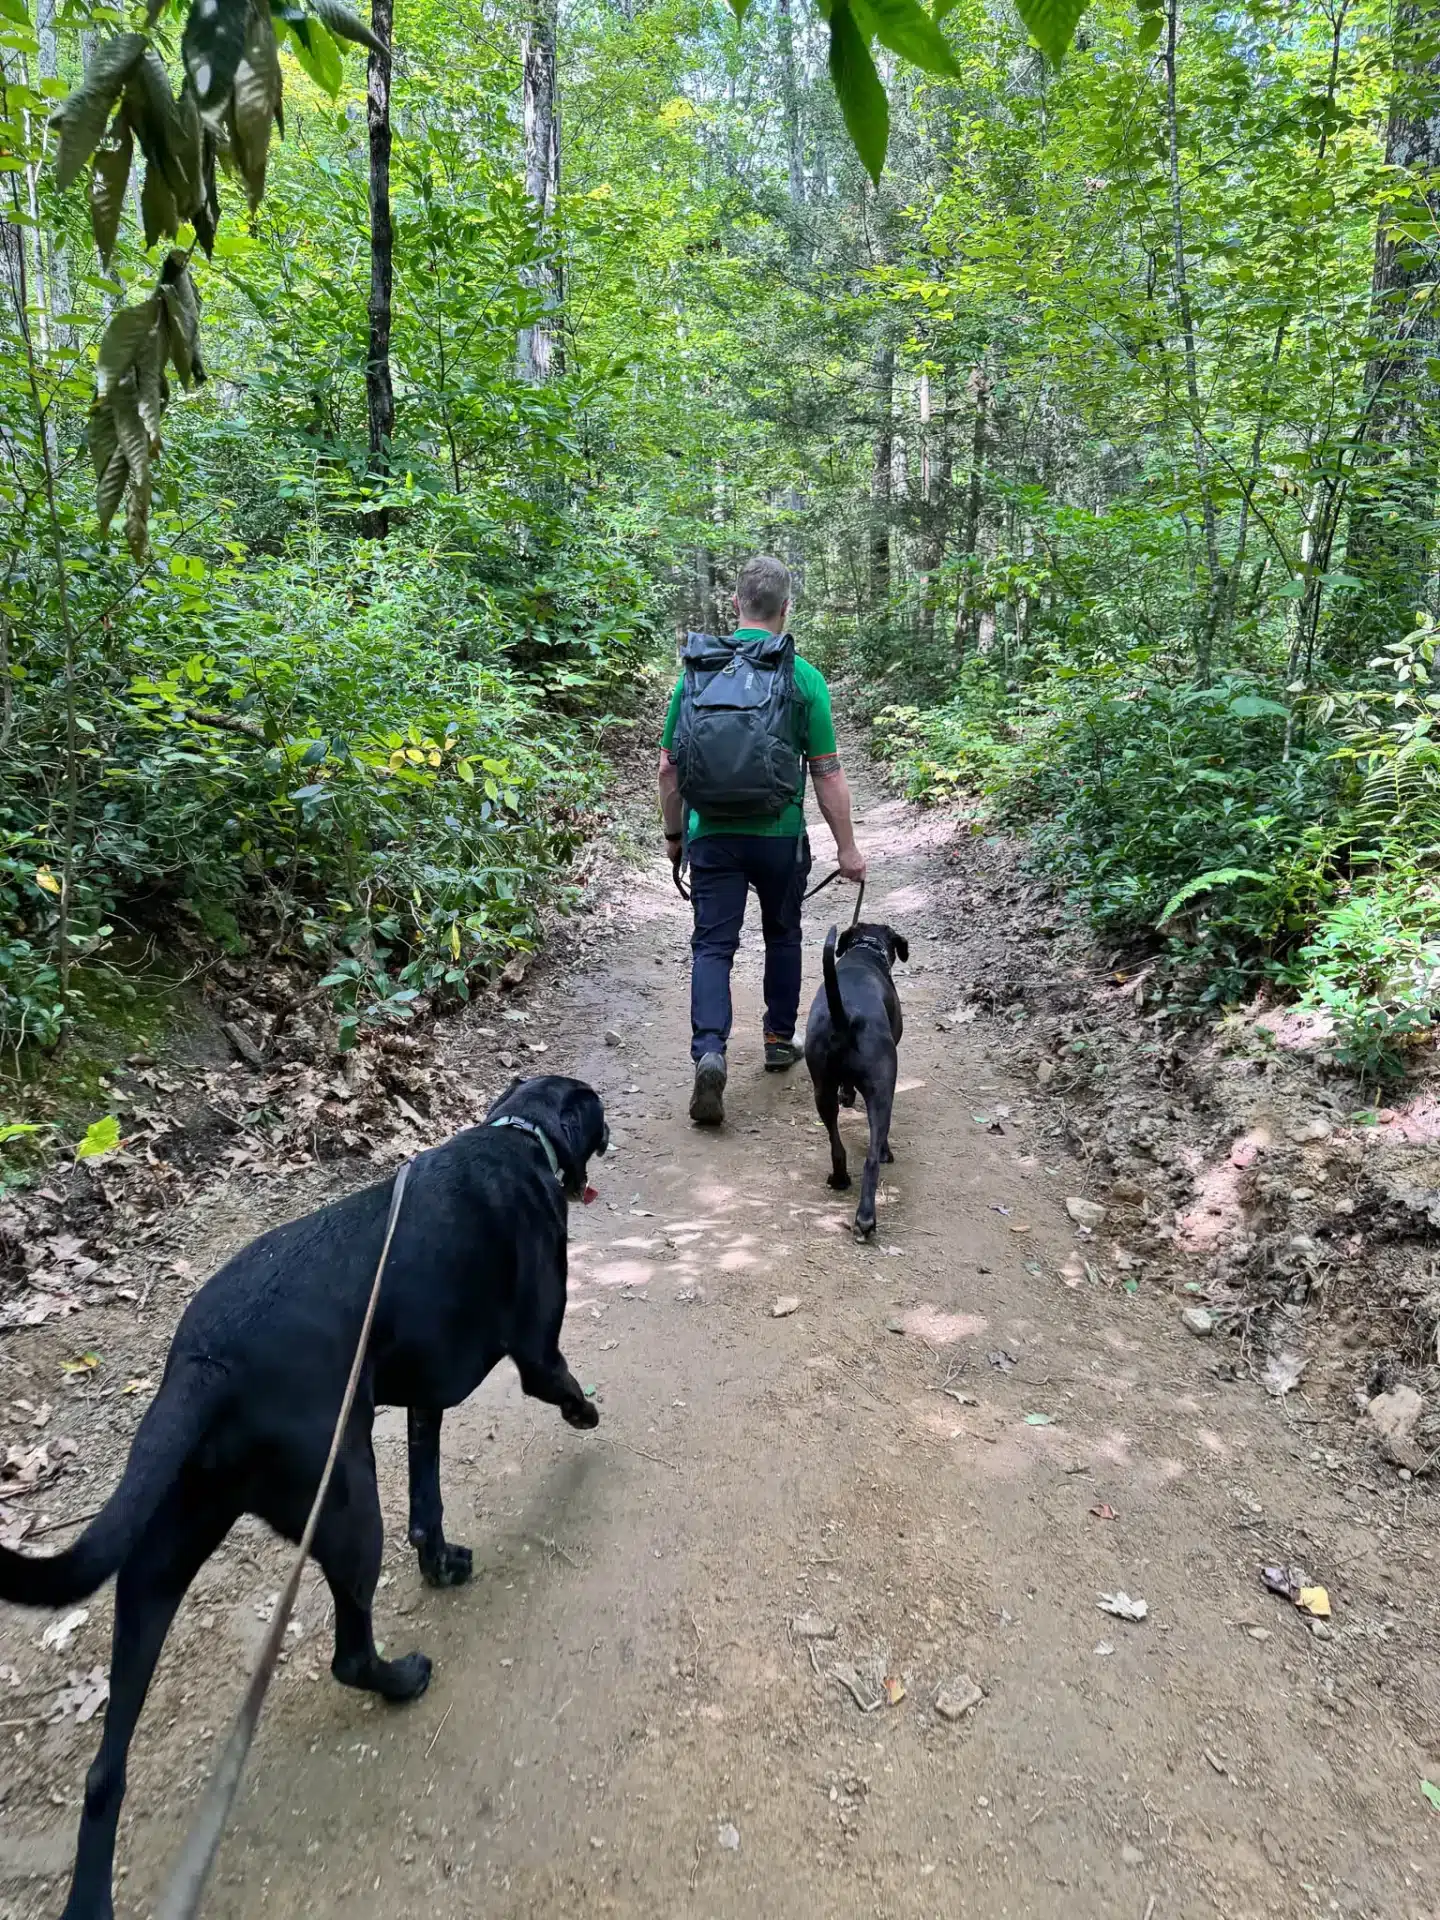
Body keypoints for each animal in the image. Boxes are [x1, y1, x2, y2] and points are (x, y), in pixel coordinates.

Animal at [0, 1075, 606, 1912]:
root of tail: (206, 1363)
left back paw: (91, 1899)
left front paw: (443, 1563)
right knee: (349, 1655)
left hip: (157, 1566)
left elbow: (429, 1504)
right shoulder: (536, 1354)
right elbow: (561, 1384)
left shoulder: (422, 1402)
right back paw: (403, 1681)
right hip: (349, 1508)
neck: (521, 1135)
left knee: (103, 1771)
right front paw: (588, 1415)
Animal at [806, 921, 906, 1236]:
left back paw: (839, 1180)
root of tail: (844, 1018)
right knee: (872, 1157)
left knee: (836, 1145)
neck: (866, 950)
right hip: (883, 1090)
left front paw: (847, 1096)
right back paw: (866, 1218)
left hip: (822, 1090)